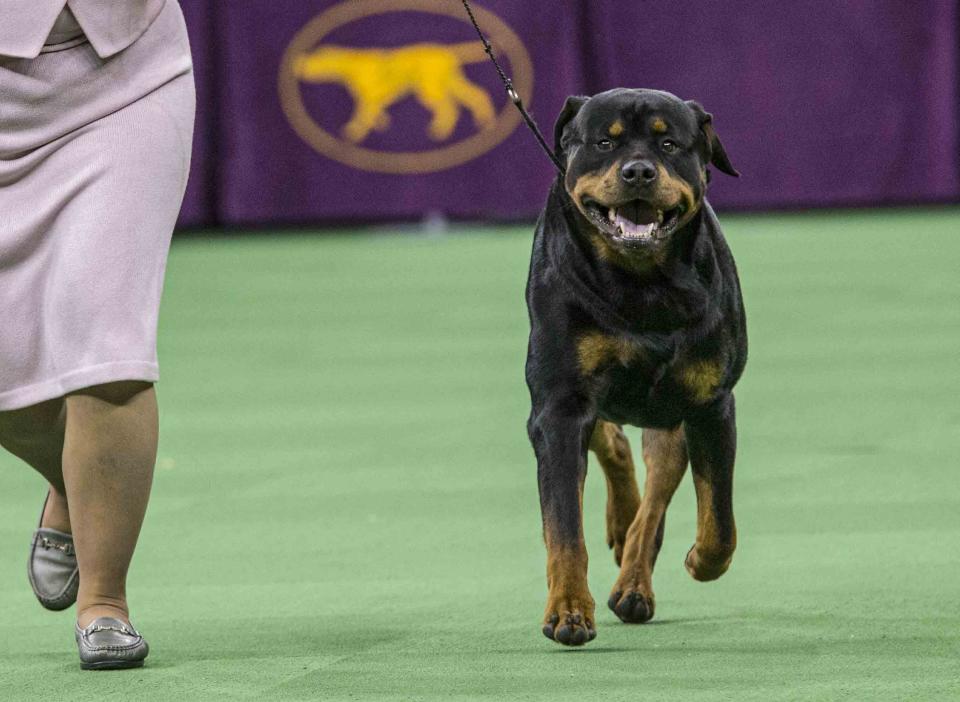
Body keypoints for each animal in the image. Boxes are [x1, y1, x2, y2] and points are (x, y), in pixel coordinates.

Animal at [524, 89, 744, 648]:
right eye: (605, 142)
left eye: (669, 144)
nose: (639, 171)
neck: (643, 282)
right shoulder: (559, 406)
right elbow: (564, 525)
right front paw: (567, 610)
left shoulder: (710, 403)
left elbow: (719, 518)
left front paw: (700, 559)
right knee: (611, 443)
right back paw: (621, 525)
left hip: (667, 415)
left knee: (656, 492)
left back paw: (633, 579)